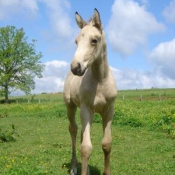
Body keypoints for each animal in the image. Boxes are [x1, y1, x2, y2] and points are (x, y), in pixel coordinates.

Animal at [63, 8, 117, 175]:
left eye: (94, 40)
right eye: (76, 41)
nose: (75, 67)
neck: (100, 82)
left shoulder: (109, 110)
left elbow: (106, 144)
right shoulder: (86, 108)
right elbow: (86, 148)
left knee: (81, 133)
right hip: (71, 107)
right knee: (74, 130)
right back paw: (74, 167)